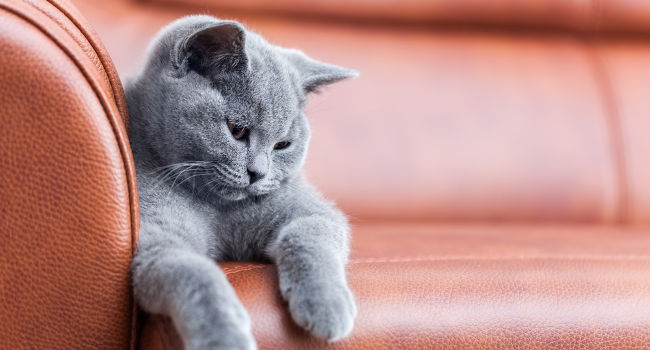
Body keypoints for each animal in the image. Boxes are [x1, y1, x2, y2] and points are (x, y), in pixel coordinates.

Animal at [125, 15, 360, 348]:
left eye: (282, 145)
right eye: (236, 130)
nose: (258, 173)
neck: (218, 208)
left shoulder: (310, 210)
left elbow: (309, 233)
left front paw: (326, 306)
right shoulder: (155, 233)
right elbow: (194, 272)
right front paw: (224, 335)